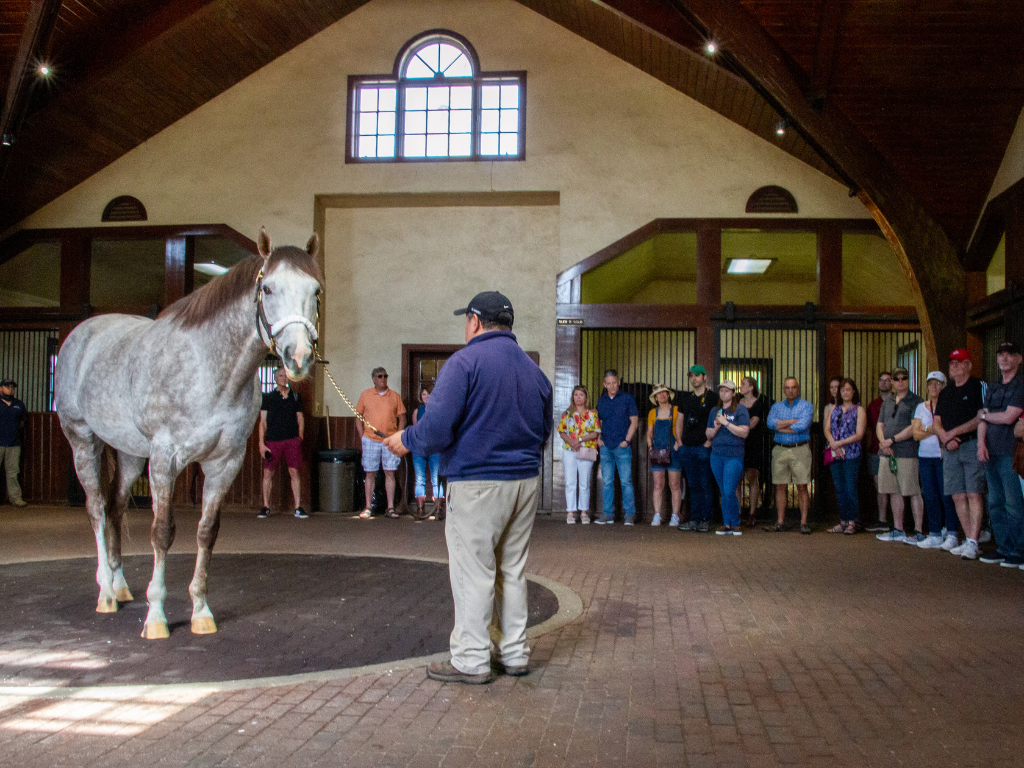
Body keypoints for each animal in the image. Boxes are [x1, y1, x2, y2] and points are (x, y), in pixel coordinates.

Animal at [52, 231, 323, 638]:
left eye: (316, 291)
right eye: (268, 289)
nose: (299, 356)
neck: (209, 367)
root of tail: (82, 332)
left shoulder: (225, 462)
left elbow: (207, 531)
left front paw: (200, 611)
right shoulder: (166, 459)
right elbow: (162, 531)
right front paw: (156, 616)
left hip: (130, 453)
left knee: (115, 507)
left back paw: (120, 585)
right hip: (82, 439)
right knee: (97, 508)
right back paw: (106, 593)